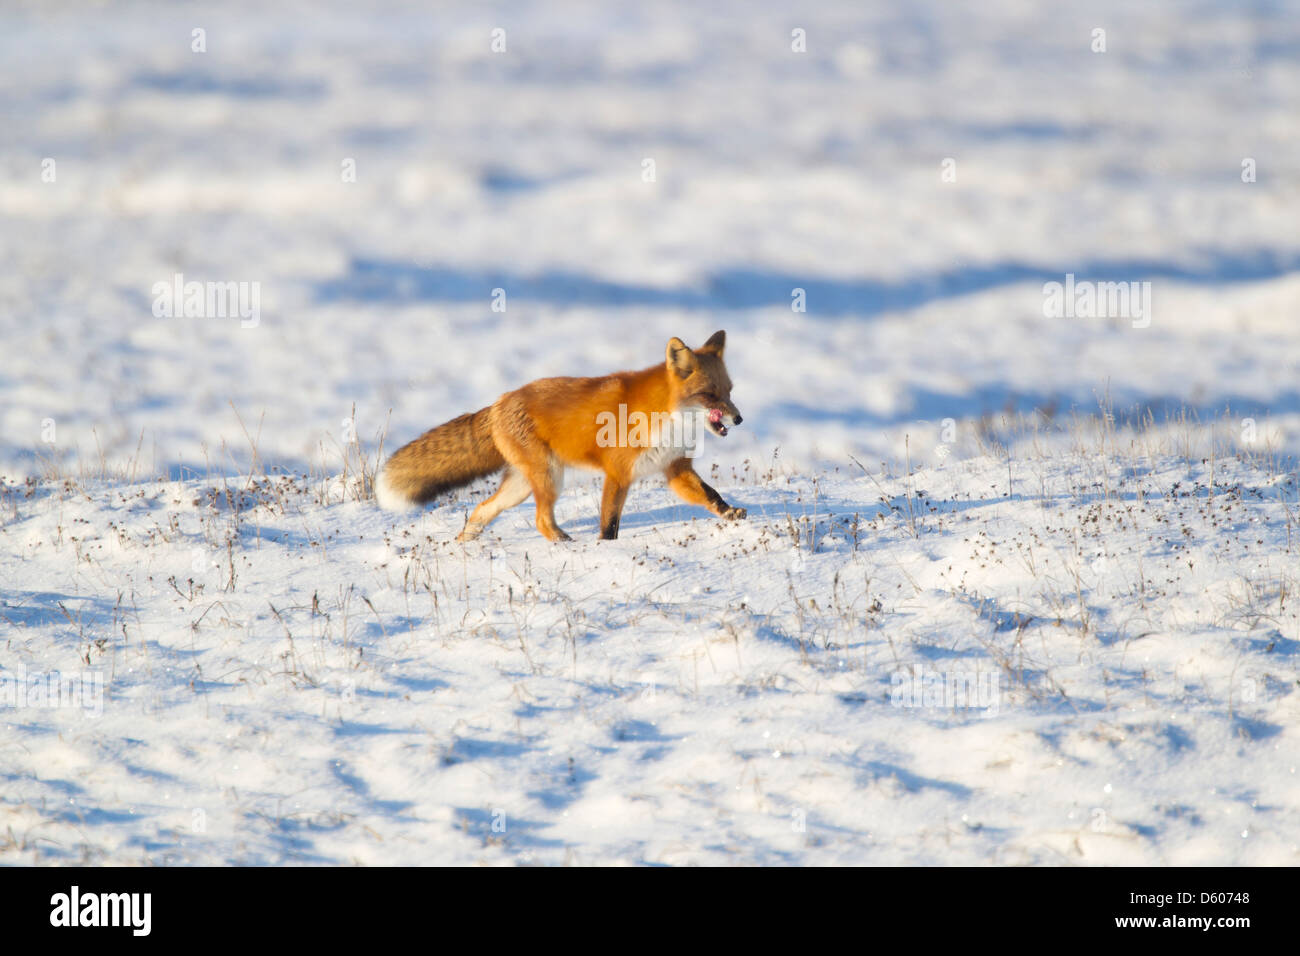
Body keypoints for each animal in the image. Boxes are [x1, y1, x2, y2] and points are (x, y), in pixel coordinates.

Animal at [375, 330, 746, 541]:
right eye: (710, 395)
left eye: (729, 391)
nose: (739, 419)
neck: (665, 418)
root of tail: (498, 403)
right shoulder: (618, 474)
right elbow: (609, 524)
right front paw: (606, 550)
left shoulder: (675, 469)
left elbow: (710, 496)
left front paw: (731, 514)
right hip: (549, 478)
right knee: (540, 521)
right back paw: (563, 543)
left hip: (521, 487)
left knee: (482, 509)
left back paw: (464, 546)